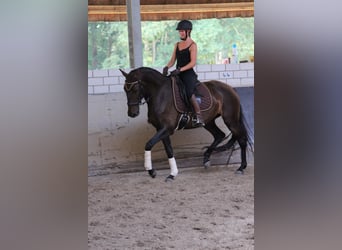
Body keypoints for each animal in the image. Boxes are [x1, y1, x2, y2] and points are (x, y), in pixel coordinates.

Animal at [120, 66, 251, 180]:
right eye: (125, 89)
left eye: (135, 89)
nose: (132, 113)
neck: (160, 94)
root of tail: (231, 88)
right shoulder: (161, 129)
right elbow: (169, 150)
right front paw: (172, 173)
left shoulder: (167, 128)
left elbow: (149, 144)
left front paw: (151, 171)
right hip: (209, 121)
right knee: (219, 135)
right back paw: (206, 159)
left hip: (231, 120)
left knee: (241, 139)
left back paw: (241, 167)